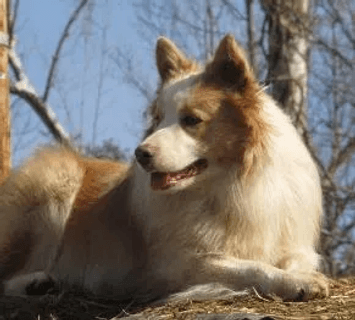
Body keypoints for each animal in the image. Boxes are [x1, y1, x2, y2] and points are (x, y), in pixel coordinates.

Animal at [0, 35, 328, 302]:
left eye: (191, 120)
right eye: (157, 119)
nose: (140, 154)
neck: (230, 184)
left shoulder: (293, 245)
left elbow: (292, 261)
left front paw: (301, 276)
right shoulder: (180, 263)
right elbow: (253, 268)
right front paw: (295, 282)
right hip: (56, 180)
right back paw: (37, 282)